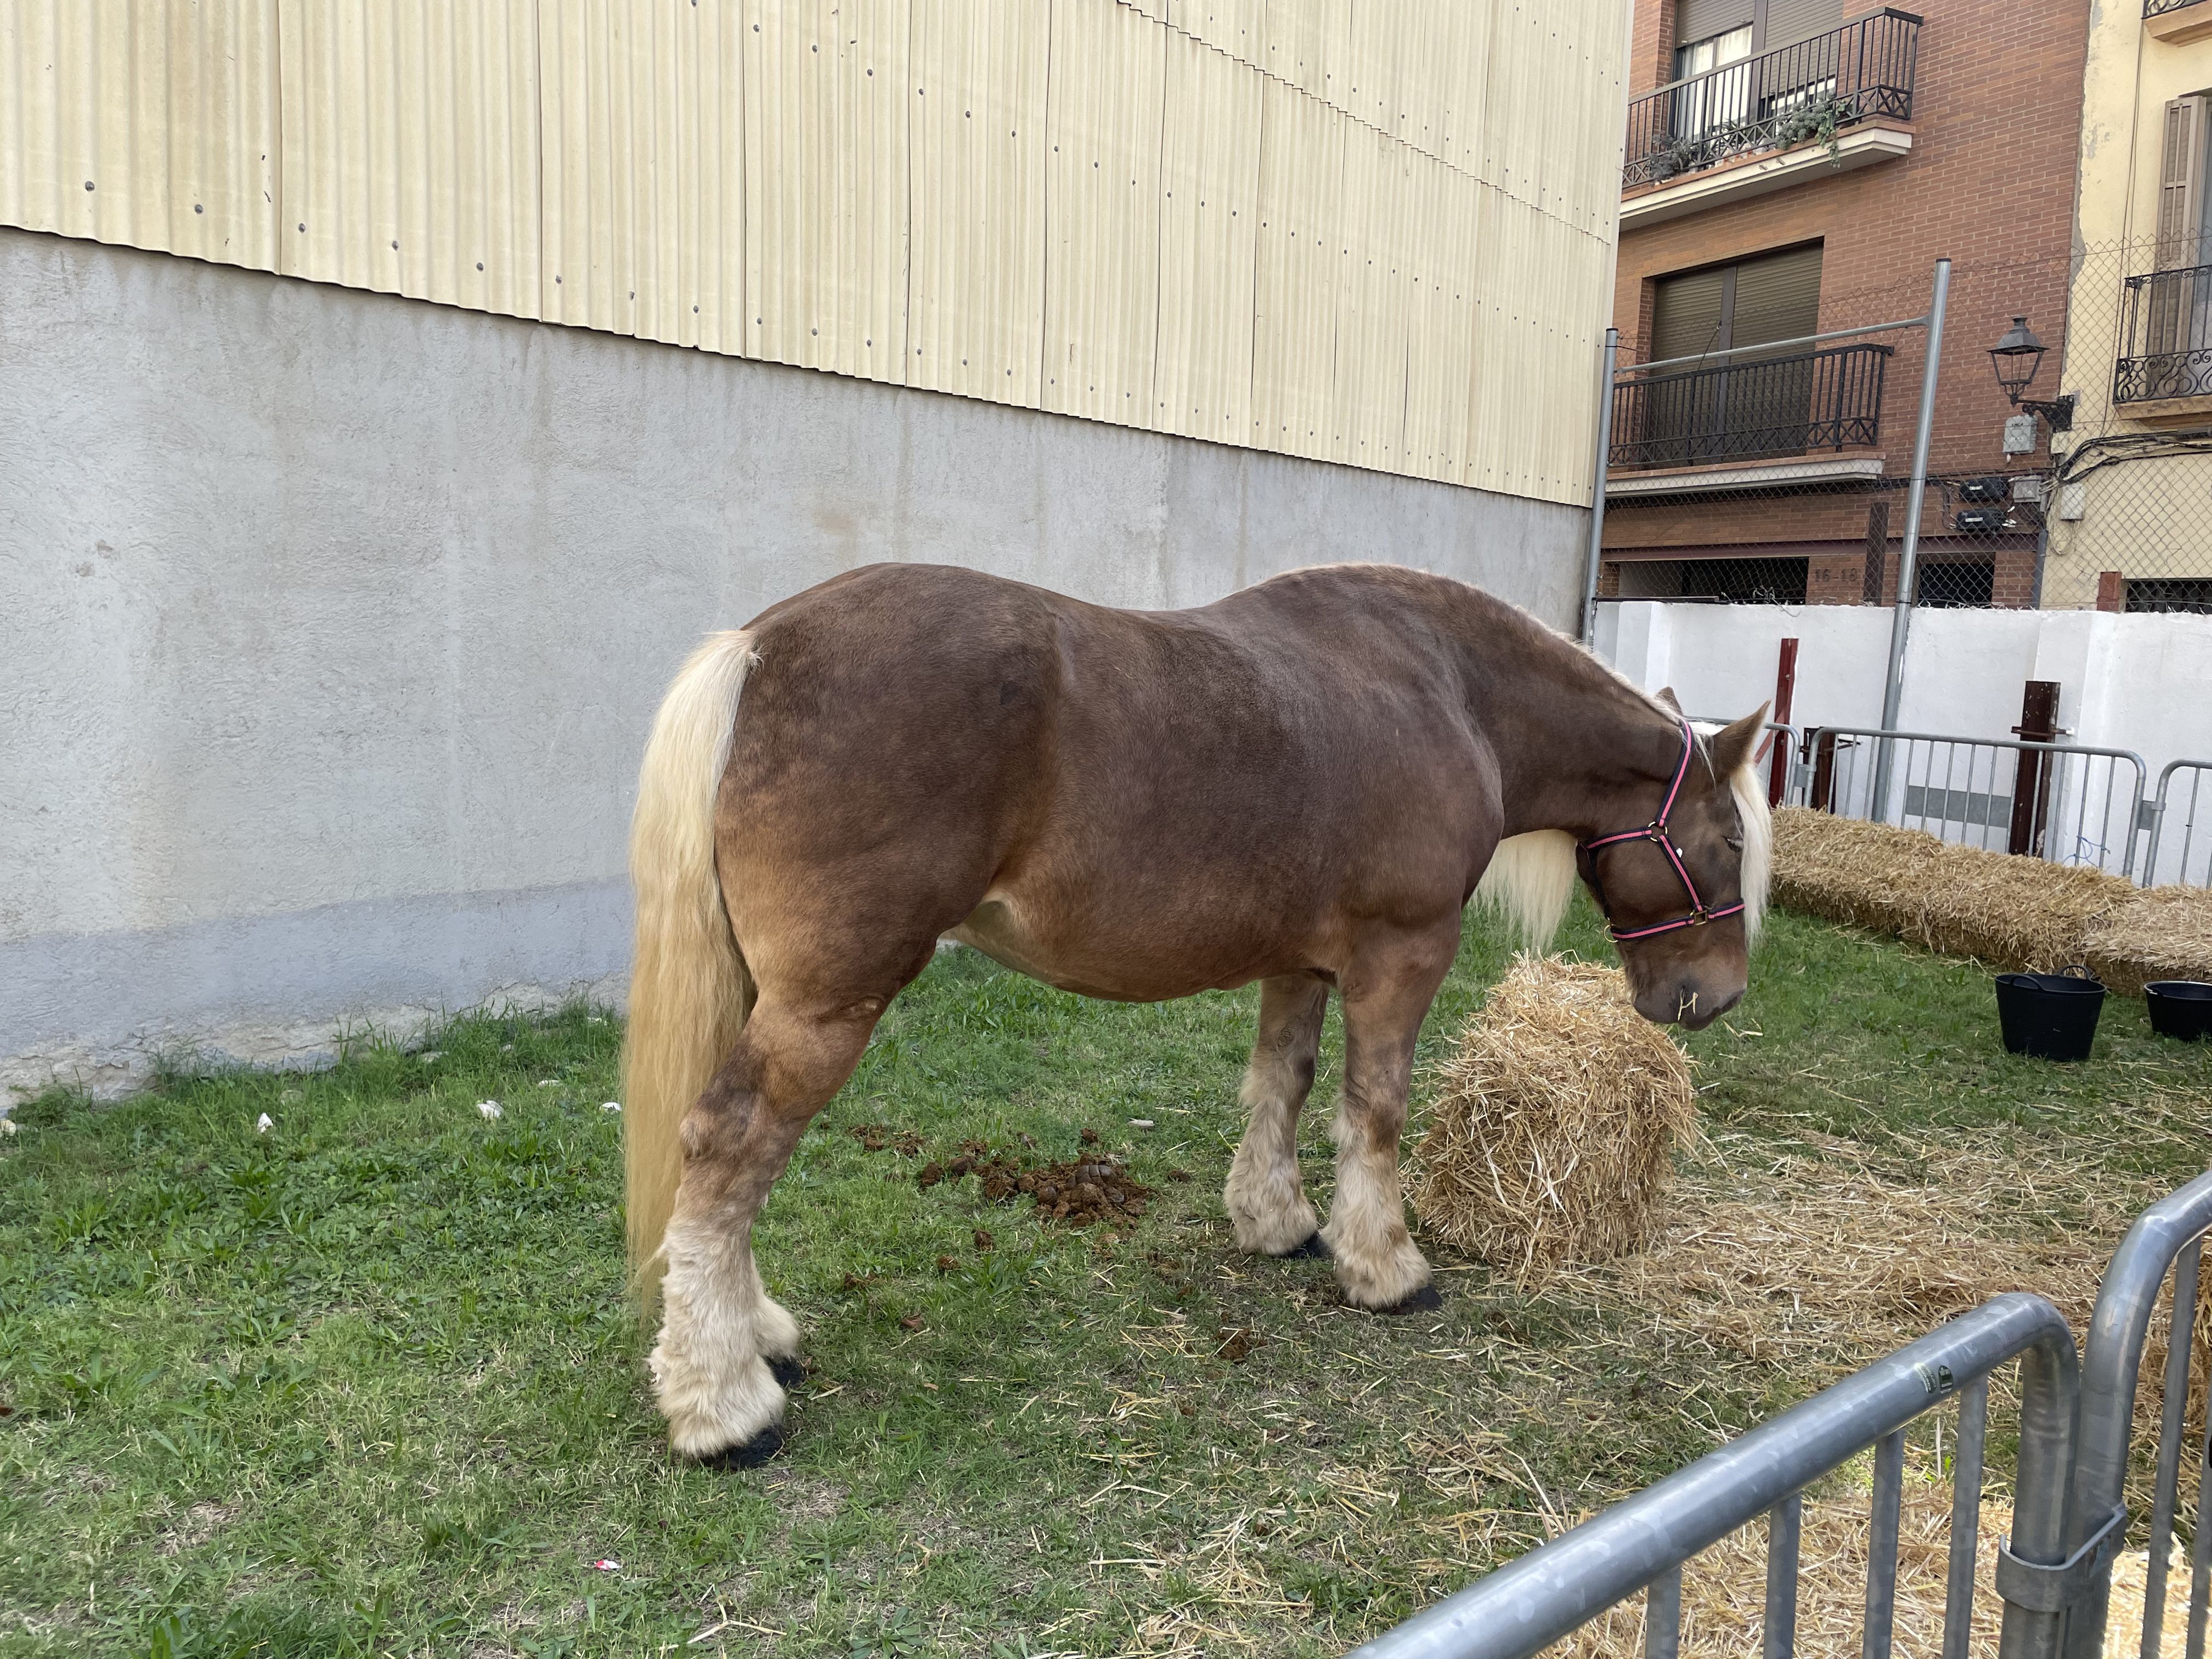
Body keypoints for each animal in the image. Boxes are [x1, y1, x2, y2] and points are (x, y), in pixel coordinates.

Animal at [633, 562, 1769, 1469]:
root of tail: (759, 646)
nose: (1711, 998)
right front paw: (1386, 1267)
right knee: (729, 1144)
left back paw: (759, 1336)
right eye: (1725, 840)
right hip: (825, 1003)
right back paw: (725, 1408)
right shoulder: (1400, 955)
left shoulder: (1302, 963)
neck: (1449, 691)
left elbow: (1285, 1081)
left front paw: (1279, 1221)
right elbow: (1376, 1108)